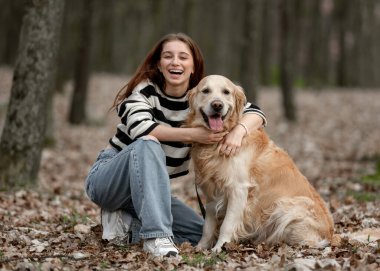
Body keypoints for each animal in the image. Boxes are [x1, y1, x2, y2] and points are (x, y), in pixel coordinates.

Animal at [186, 74, 334, 253]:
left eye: (226, 92)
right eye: (205, 91)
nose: (217, 105)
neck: (220, 139)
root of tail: (332, 235)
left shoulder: (238, 189)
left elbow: (227, 224)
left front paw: (219, 248)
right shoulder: (211, 191)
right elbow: (208, 226)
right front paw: (200, 248)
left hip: (287, 206)